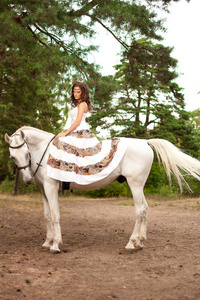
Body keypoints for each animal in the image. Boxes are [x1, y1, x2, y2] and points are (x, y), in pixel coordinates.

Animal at [4, 126, 200, 253]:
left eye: (27, 154)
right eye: (13, 157)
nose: (27, 179)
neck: (44, 153)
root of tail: (145, 142)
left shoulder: (51, 187)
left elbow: (55, 215)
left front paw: (55, 245)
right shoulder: (43, 190)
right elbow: (47, 216)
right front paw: (47, 242)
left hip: (135, 185)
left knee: (140, 210)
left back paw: (131, 243)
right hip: (138, 185)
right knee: (145, 209)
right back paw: (140, 242)